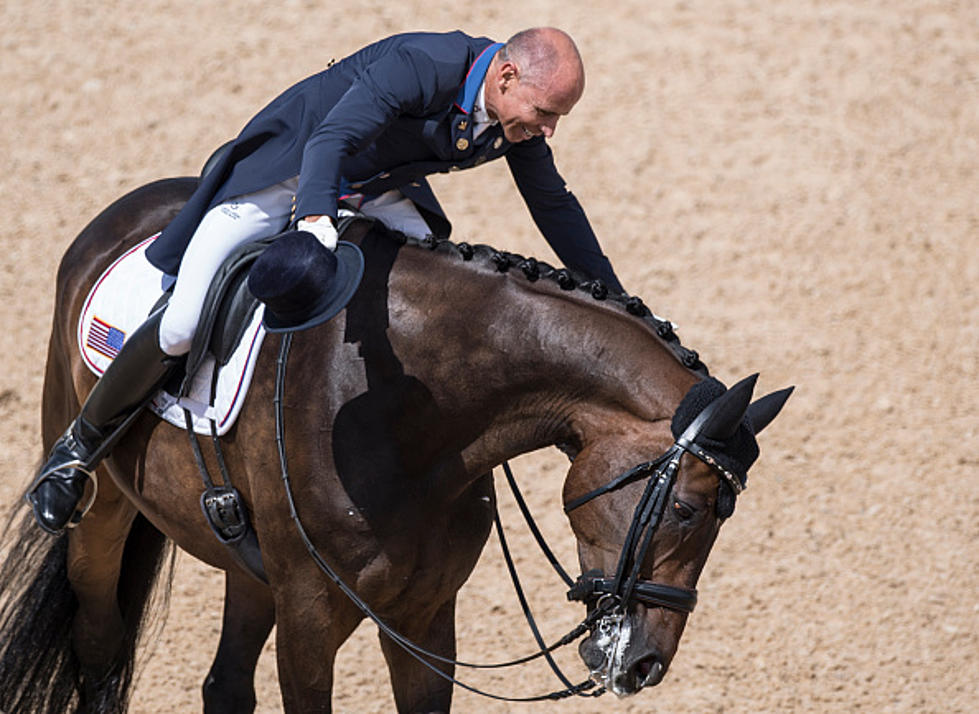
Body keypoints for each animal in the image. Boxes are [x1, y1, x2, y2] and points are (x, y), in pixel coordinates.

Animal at [0, 175, 792, 708]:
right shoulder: (311, 618)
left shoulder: (424, 616)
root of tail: (132, 207)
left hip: (252, 568)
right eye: (686, 510)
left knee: (224, 684)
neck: (417, 417)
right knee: (99, 643)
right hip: (102, 512)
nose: (644, 667)